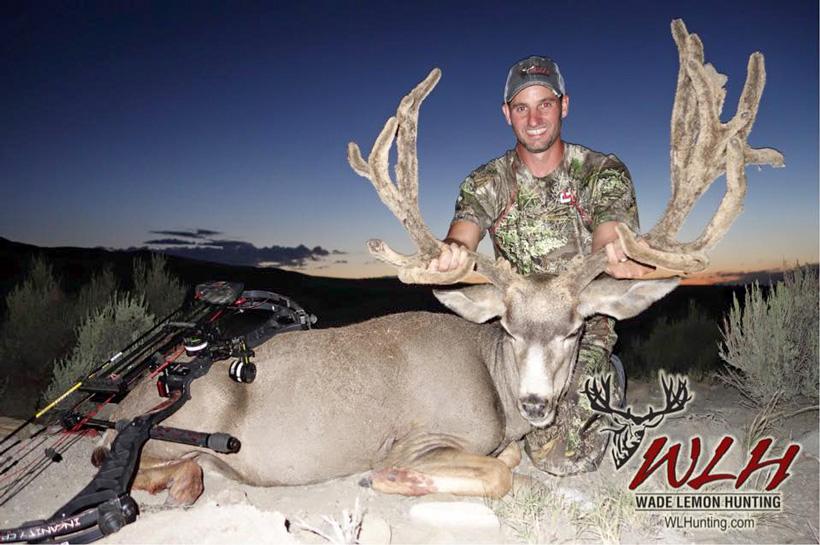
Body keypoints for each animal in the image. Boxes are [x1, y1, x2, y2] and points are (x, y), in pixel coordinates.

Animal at [96, 19, 782, 505]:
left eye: (572, 330)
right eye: (507, 328)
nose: (538, 405)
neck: (495, 386)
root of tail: (123, 403)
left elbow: (510, 460)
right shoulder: (422, 438)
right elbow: (494, 472)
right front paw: (390, 481)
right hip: (179, 424)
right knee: (132, 462)